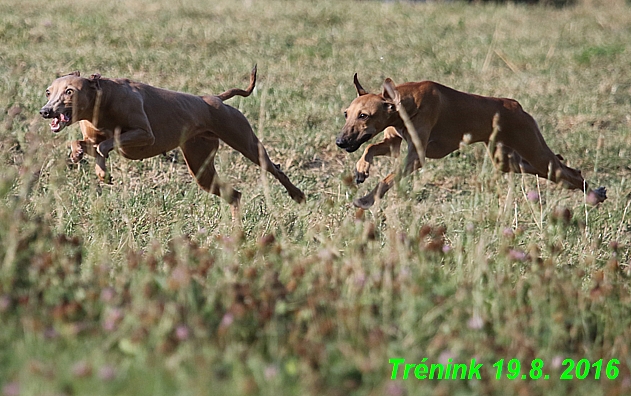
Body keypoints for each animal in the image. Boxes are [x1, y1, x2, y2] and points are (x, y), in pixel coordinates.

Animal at [336, 75, 608, 210]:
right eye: (346, 113)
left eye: (364, 115)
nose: (340, 141)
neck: (407, 101)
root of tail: (516, 106)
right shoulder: (393, 142)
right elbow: (370, 147)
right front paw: (361, 170)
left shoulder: (416, 156)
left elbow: (387, 180)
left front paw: (366, 200)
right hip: (507, 160)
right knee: (561, 170)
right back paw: (595, 192)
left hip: (535, 152)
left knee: (568, 172)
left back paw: (594, 194)